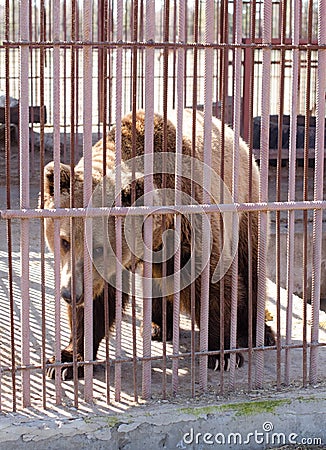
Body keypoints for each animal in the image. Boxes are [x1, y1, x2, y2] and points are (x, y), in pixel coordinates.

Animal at [42, 110, 274, 380]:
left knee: (251, 267)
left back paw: (260, 332)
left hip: (246, 204)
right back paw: (156, 325)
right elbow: (97, 301)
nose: (70, 293)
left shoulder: (190, 220)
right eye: (64, 241)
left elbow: (212, 282)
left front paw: (222, 353)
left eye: (99, 248)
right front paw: (68, 359)